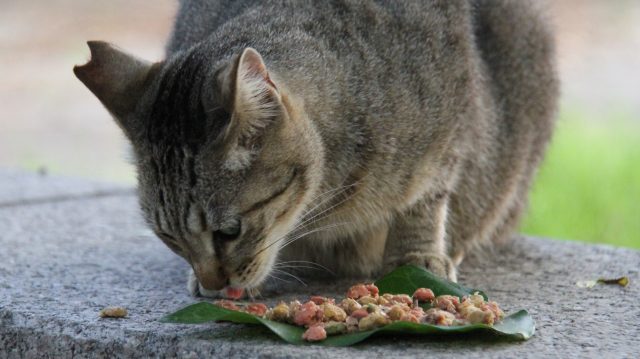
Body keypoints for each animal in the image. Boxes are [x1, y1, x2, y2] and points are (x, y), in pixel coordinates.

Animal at [74, 0, 556, 298]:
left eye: (229, 231)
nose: (214, 285)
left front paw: (416, 259)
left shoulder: (451, 129)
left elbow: (424, 202)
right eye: (169, 238)